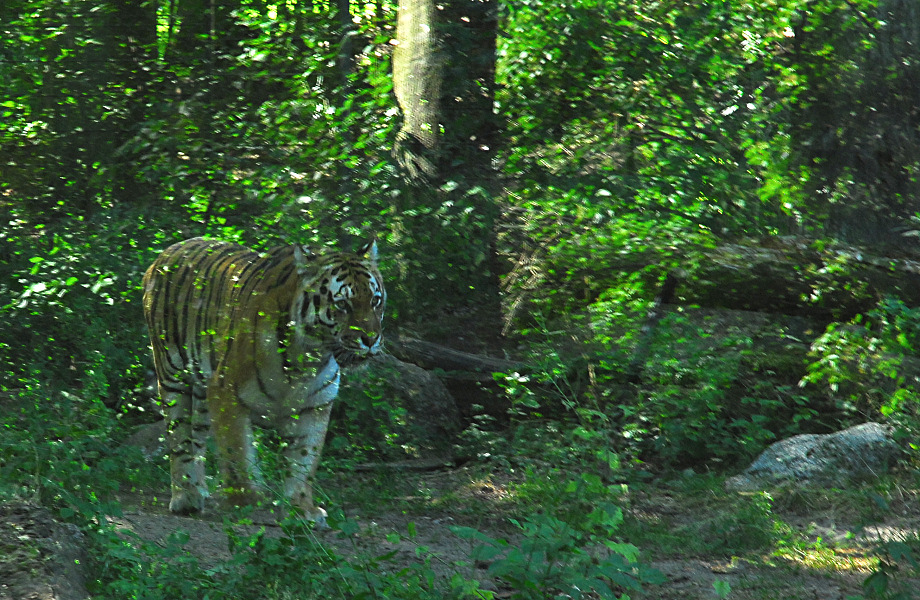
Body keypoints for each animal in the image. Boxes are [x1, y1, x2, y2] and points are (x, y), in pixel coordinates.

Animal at [141, 237, 384, 524]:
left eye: (375, 301)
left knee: (196, 439)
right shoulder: (226, 392)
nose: (371, 339)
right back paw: (185, 497)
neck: (308, 357)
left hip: (201, 393)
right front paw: (245, 502)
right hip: (173, 377)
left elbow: (304, 459)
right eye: (343, 304)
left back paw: (199, 490)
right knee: (179, 440)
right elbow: (237, 453)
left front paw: (302, 509)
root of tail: (167, 251)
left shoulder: (316, 405)